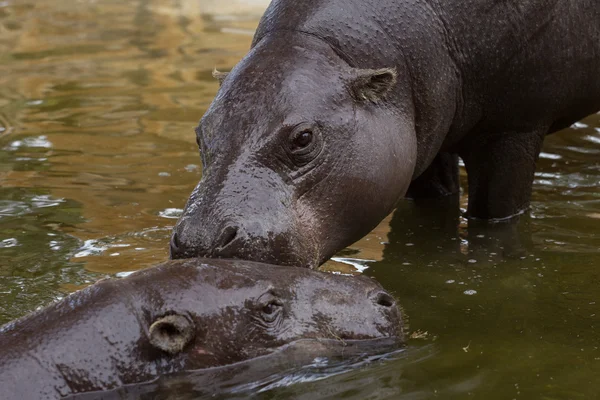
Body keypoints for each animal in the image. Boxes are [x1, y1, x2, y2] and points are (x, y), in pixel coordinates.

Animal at [169, 0, 600, 268]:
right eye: (201, 133)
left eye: (304, 138)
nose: (200, 242)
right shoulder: (422, 138)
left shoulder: (513, 131)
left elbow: (495, 218)